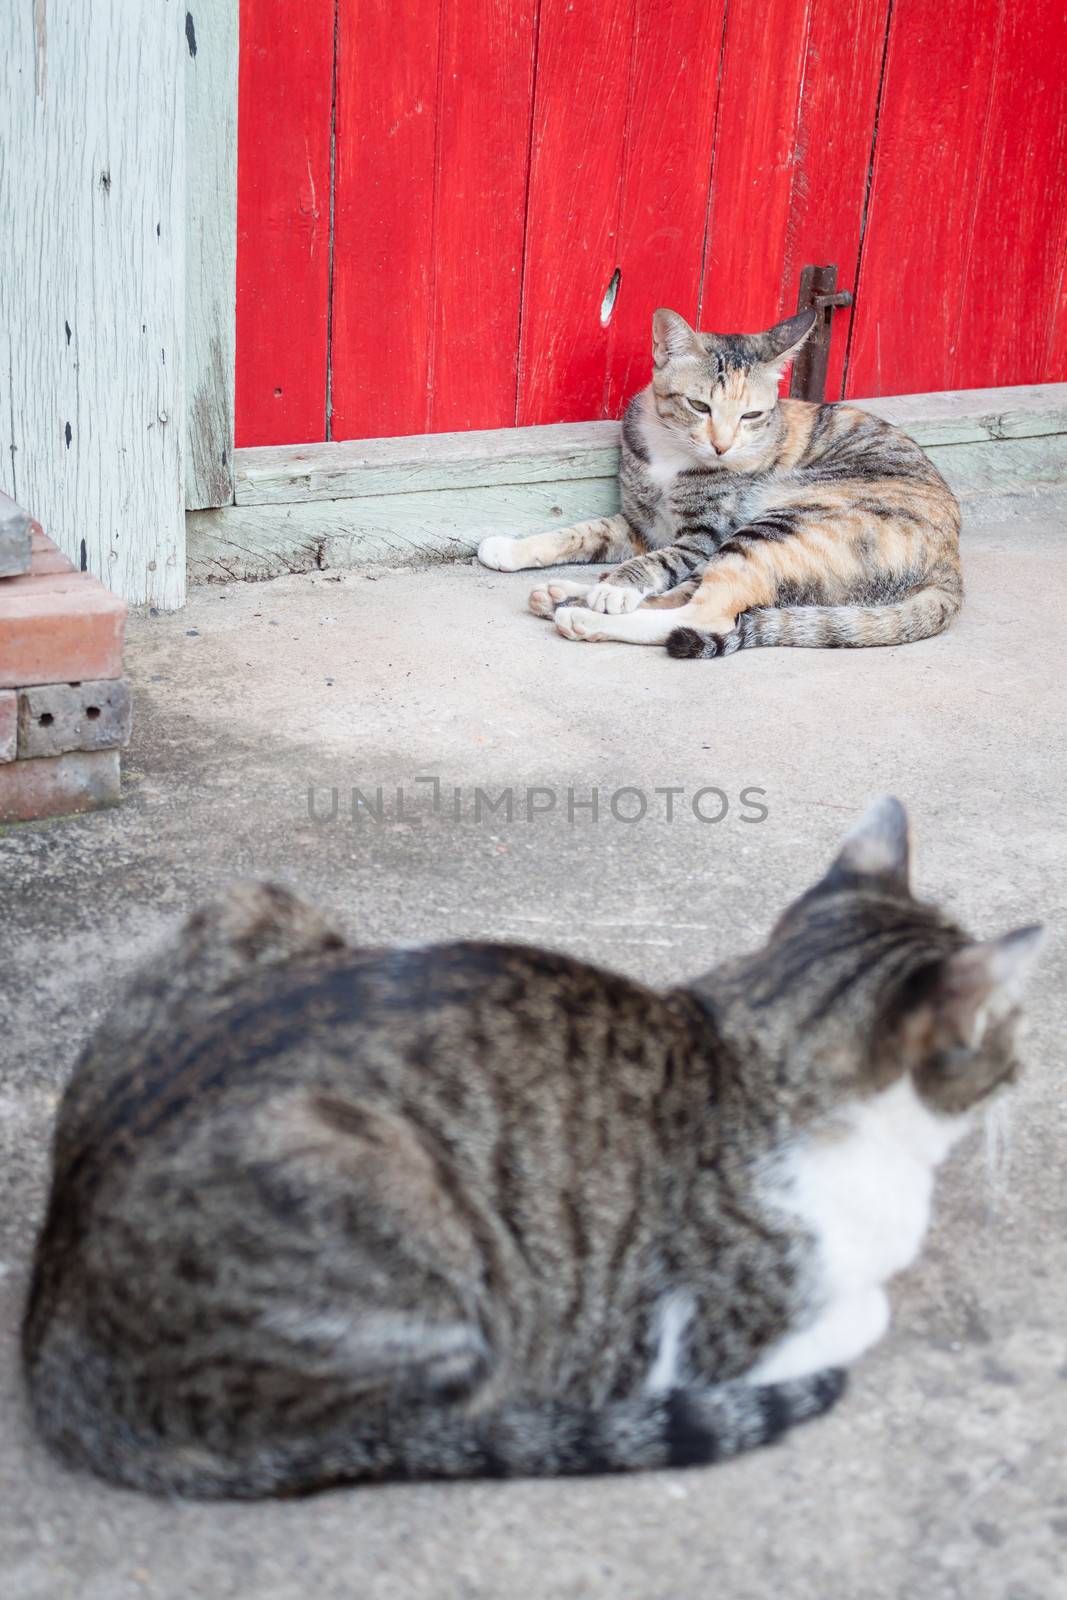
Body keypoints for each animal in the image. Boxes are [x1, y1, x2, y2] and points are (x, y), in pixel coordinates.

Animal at [27, 800, 1043, 1497]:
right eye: (1008, 1028)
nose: (1027, 1065)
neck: (757, 1043)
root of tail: (48, 1338)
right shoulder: (707, 1338)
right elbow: (865, 1311)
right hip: (386, 1192)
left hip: (254, 904)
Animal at [479, 305, 966, 656]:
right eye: (699, 406)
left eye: (751, 415)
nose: (722, 446)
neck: (671, 453)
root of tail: (950, 566)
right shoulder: (641, 523)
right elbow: (582, 532)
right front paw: (510, 548)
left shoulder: (704, 535)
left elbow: (654, 563)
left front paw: (615, 589)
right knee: (689, 596)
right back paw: (565, 595)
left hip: (782, 523)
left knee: (708, 614)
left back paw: (585, 615)